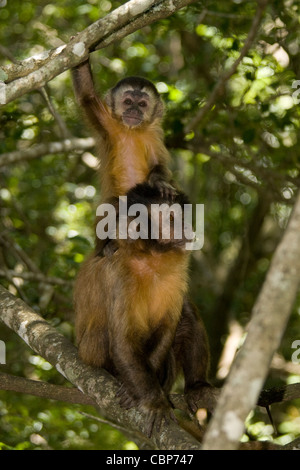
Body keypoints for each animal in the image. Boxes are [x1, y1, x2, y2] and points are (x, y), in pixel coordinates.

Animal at [72, 57, 216, 436]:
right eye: (127, 102)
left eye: (141, 102)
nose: (134, 111)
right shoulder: (108, 122)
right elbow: (87, 96)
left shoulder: (156, 136)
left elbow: (162, 167)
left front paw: (160, 183)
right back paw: (105, 245)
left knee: (186, 315)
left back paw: (196, 388)